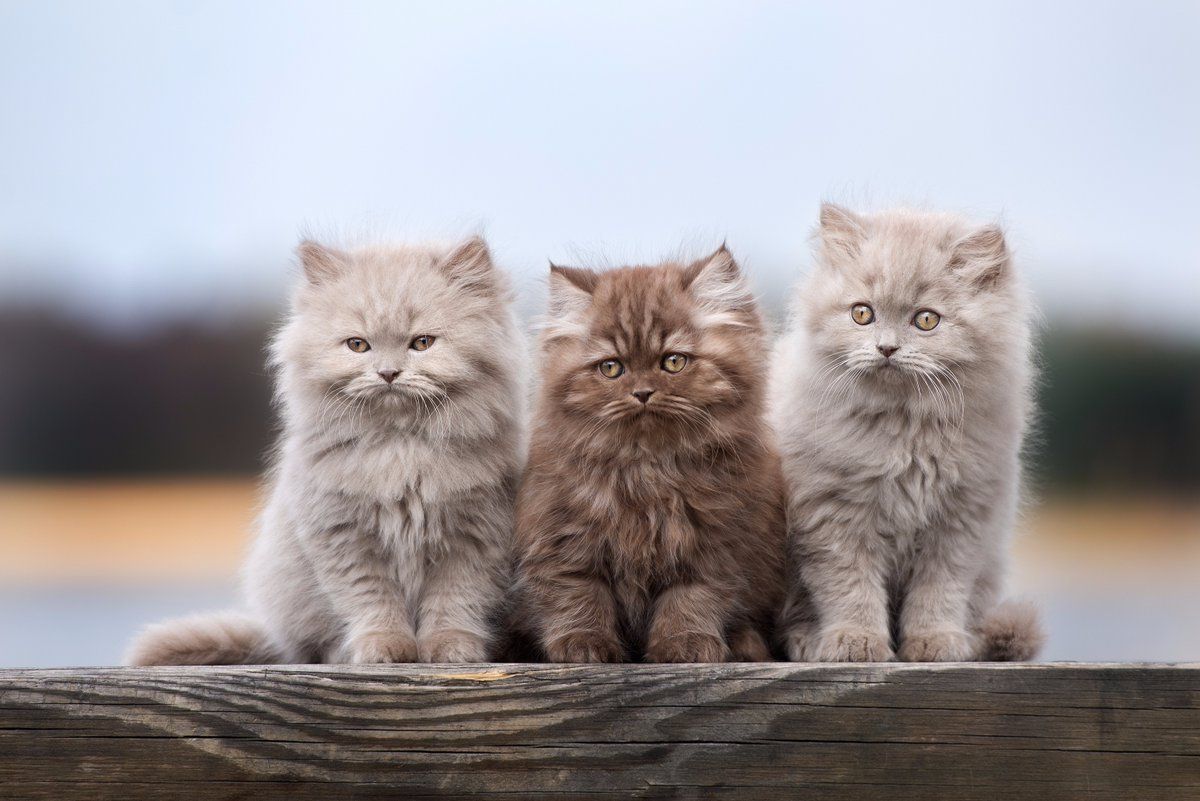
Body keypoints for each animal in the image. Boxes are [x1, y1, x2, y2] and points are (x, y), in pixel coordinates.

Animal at [126, 235, 525, 666]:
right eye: (358, 345)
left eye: (422, 343)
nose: (388, 373)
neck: (399, 449)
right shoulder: (342, 536)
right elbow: (372, 601)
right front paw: (384, 649)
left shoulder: (475, 538)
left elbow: (453, 601)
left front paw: (451, 649)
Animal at [513, 247, 787, 661]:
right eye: (611, 368)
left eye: (673, 361)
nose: (642, 392)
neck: (647, 469)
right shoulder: (562, 536)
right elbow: (579, 595)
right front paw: (585, 644)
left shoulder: (714, 543)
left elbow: (691, 598)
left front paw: (685, 644)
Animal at [772, 205, 1046, 661]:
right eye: (862, 313)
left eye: (926, 320)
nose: (886, 348)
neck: (905, 431)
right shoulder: (832, 515)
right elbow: (850, 587)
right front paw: (856, 641)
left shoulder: (962, 520)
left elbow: (939, 591)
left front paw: (935, 642)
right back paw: (808, 640)